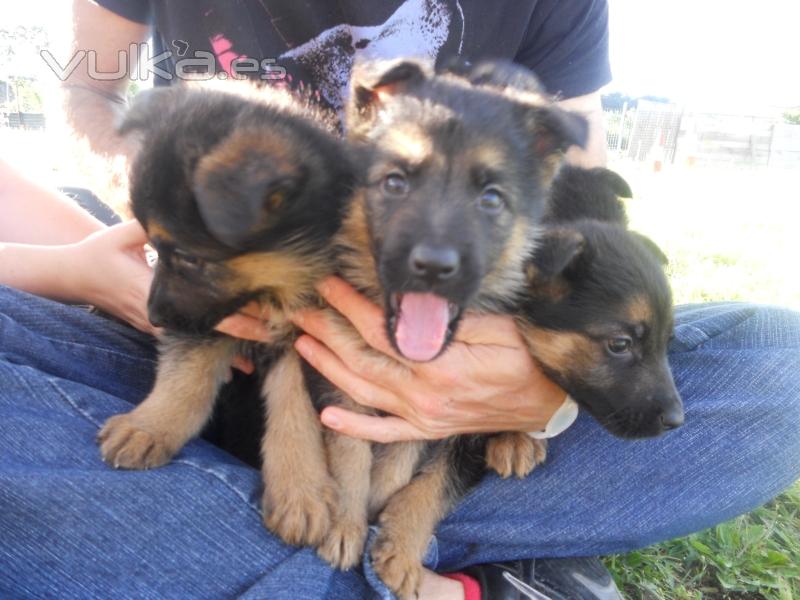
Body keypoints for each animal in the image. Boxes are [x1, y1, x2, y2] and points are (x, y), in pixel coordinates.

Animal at [94, 82, 356, 552]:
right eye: (153, 248)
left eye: (188, 257)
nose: (154, 318)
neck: (276, 284)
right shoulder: (206, 321)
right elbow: (187, 377)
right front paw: (150, 427)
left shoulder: (308, 338)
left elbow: (295, 407)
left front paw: (300, 491)